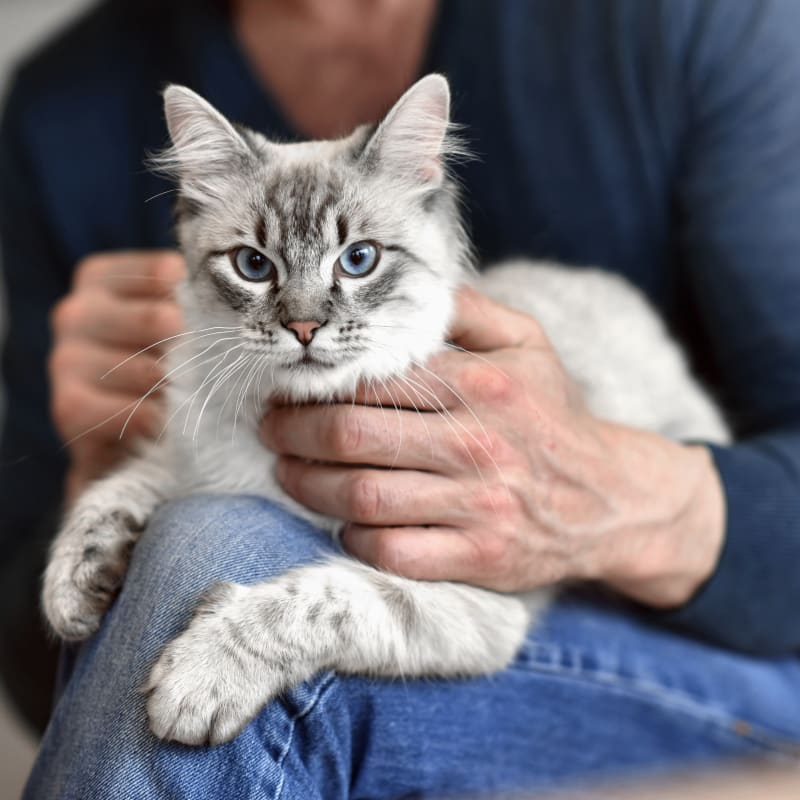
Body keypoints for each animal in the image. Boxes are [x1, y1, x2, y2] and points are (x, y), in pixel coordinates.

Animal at [43, 73, 732, 744]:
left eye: (358, 260)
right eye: (253, 266)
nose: (303, 327)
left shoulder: (464, 594)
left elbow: (317, 598)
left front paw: (199, 677)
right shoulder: (193, 455)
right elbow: (117, 489)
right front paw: (73, 588)